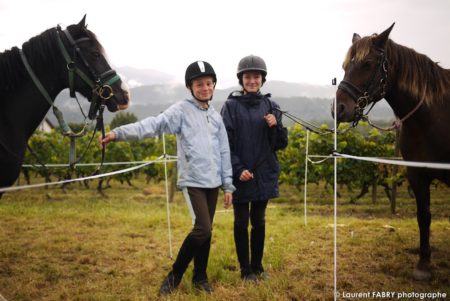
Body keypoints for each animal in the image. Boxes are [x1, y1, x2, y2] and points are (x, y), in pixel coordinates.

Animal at [334, 22, 450, 278]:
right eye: (345, 66)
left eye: (367, 64)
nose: (338, 109)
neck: (432, 116)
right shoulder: (416, 174)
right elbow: (424, 216)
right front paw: (423, 264)